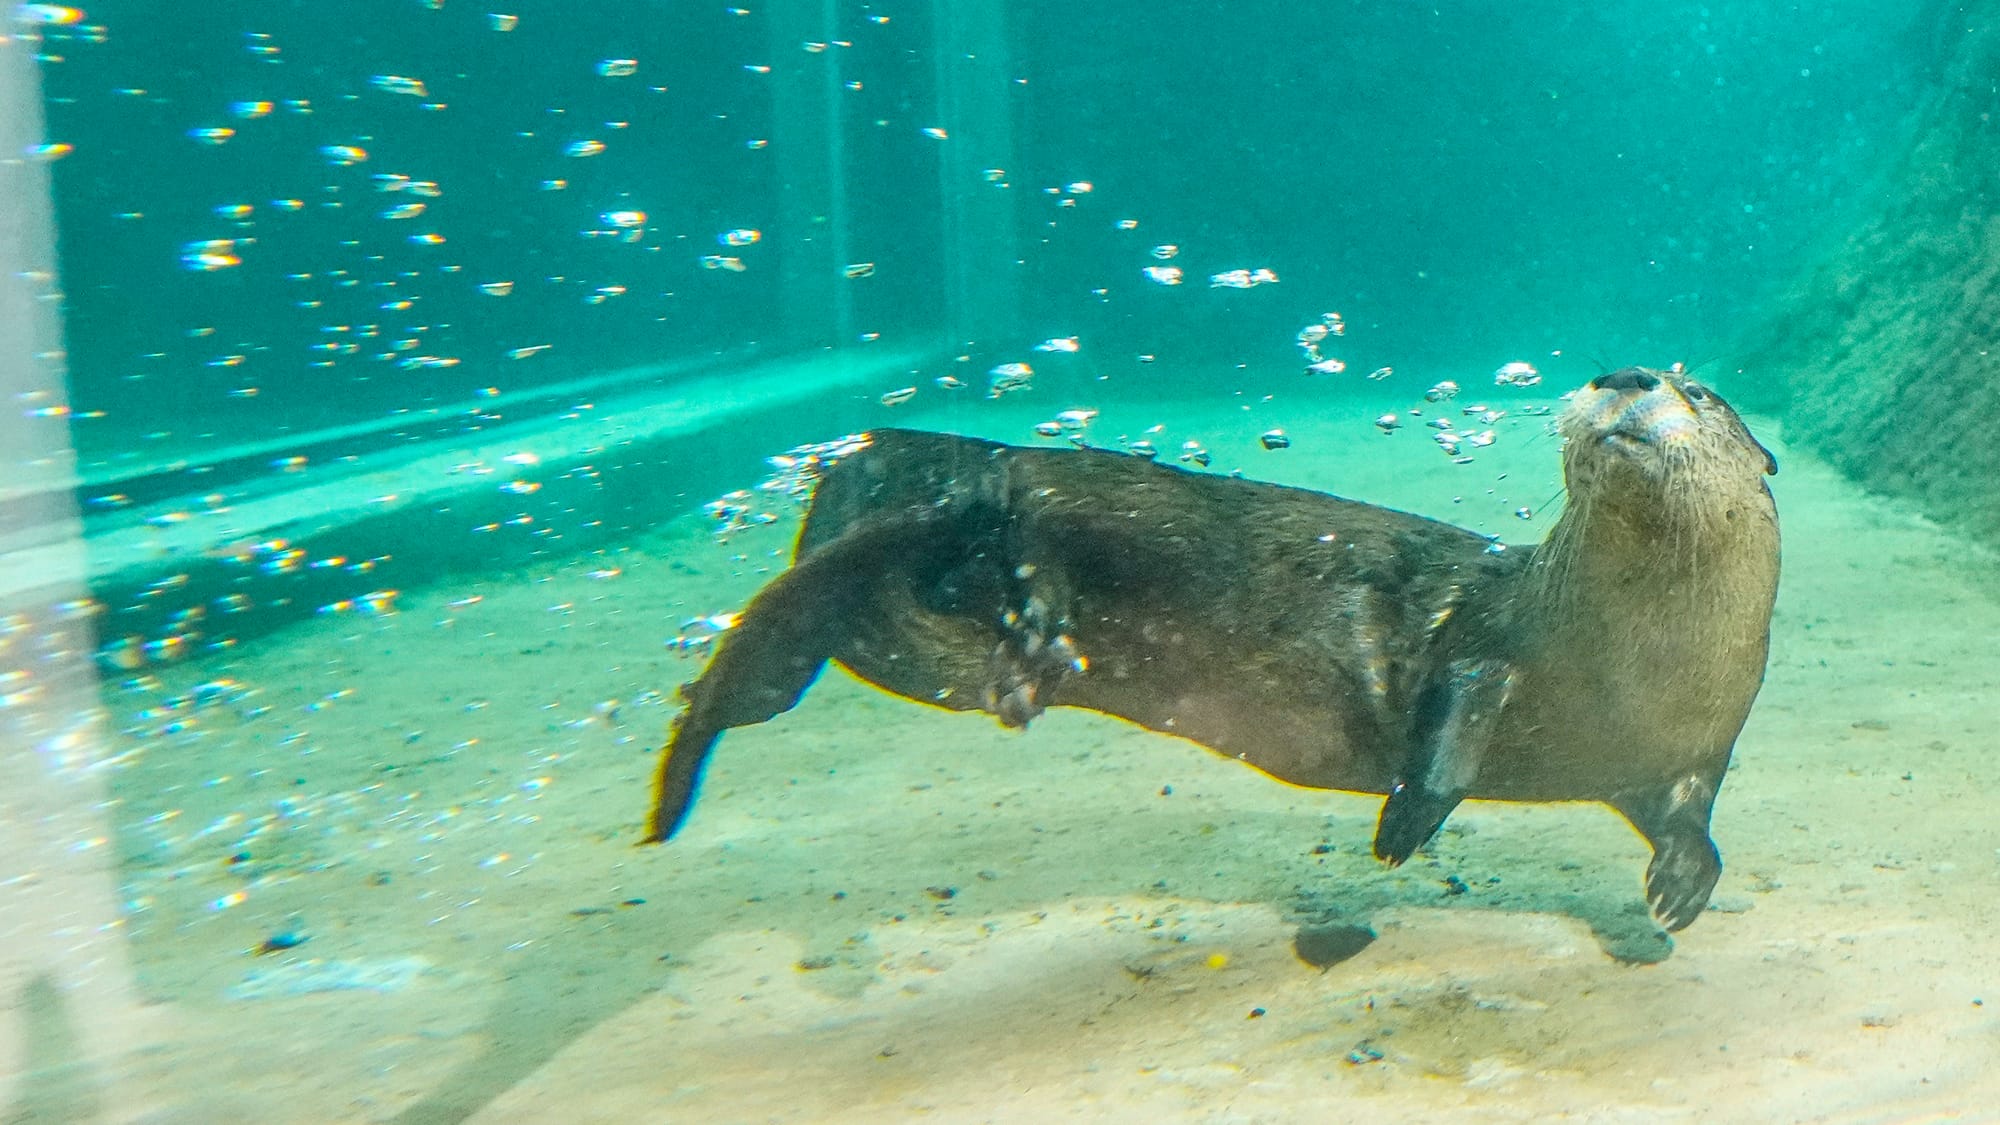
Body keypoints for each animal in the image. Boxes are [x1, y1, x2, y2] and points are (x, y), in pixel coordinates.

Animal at [643, 367, 1780, 932]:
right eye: (1615, 368)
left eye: (1700, 394)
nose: (1625, 372)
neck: (1634, 661)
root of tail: (974, 481)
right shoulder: (1485, 638)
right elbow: (1449, 718)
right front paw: (1403, 826)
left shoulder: (1687, 748)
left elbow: (1694, 817)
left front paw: (1678, 890)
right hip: (1012, 516)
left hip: (904, 636)